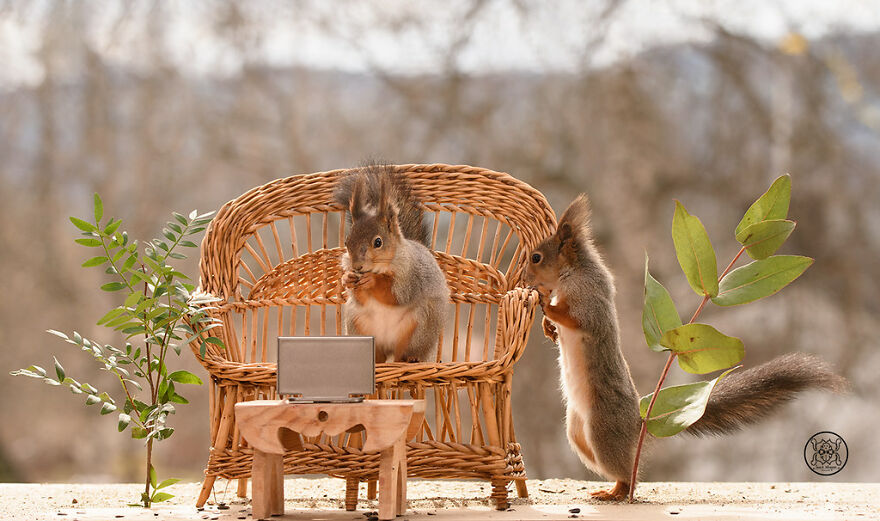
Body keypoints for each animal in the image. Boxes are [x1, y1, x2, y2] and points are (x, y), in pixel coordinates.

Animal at [334, 164, 449, 363]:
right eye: (347, 242)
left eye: (378, 242)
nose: (357, 267)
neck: (382, 267)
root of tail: (388, 348)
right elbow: (360, 298)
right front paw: (347, 278)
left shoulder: (410, 277)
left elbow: (395, 296)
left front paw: (373, 281)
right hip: (358, 322)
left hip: (419, 326)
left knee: (403, 352)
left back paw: (410, 358)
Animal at [525, 193, 847, 501]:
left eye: (536, 257)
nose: (525, 278)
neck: (573, 272)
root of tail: (639, 423)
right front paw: (547, 327)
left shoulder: (589, 299)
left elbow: (578, 320)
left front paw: (545, 304)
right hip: (578, 435)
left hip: (602, 432)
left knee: (628, 473)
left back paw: (616, 491)